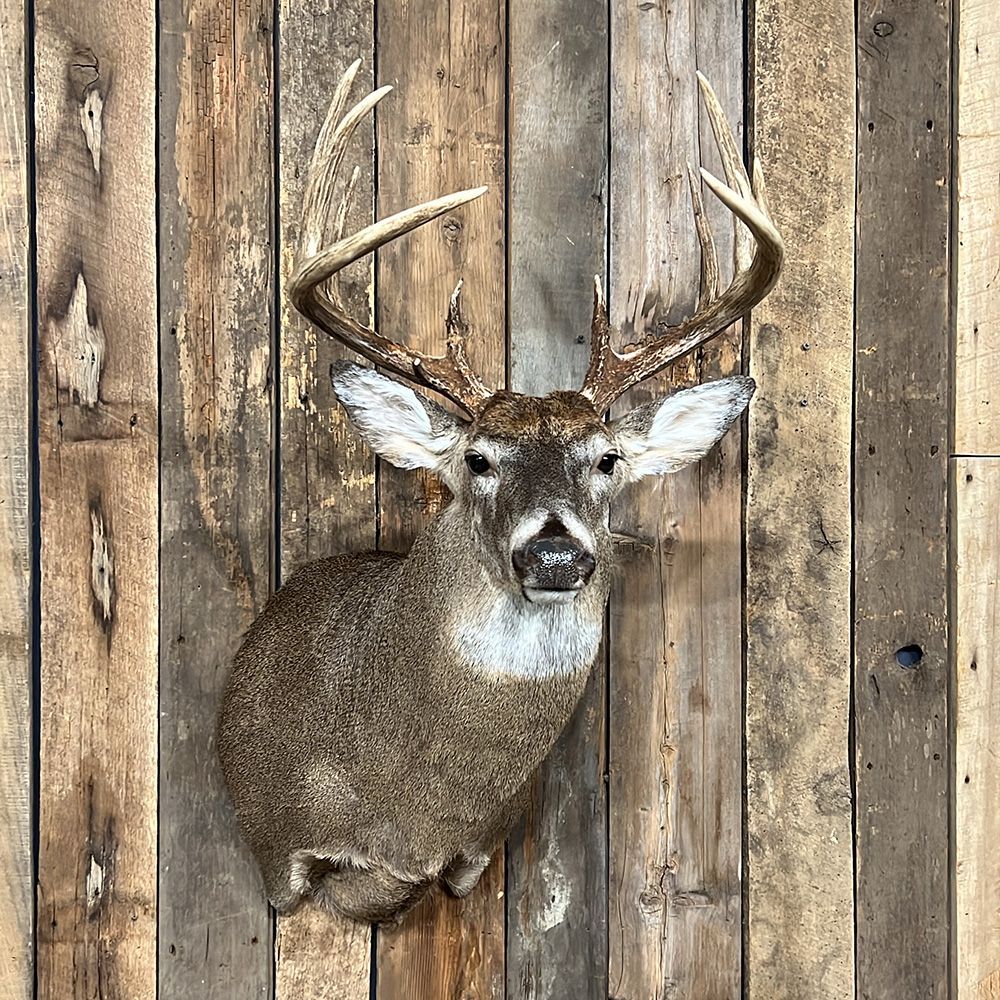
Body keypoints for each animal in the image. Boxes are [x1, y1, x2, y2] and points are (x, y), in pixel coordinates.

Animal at [217, 59, 783, 925]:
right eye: (478, 459)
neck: (407, 810)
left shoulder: (475, 850)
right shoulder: (277, 845)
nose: (554, 553)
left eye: (607, 459)